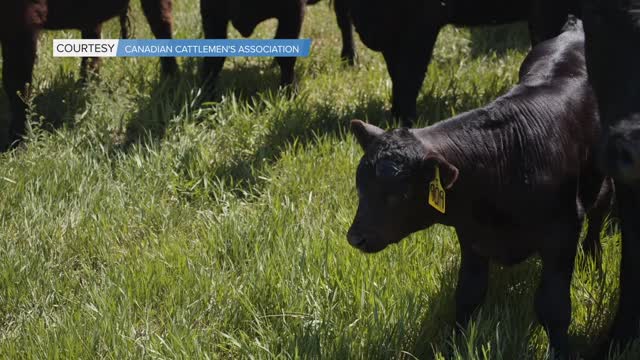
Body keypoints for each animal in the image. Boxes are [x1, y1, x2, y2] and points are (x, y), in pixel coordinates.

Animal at [2, 0, 179, 150]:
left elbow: (16, 81)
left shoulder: (24, 17)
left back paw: (170, 79)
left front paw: (17, 142)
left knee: (162, 22)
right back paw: (87, 85)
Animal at [201, 0, 356, 89]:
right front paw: (204, 97)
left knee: (344, 20)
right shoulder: (211, 10)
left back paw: (350, 59)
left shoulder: (293, 11)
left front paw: (289, 92)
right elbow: (213, 58)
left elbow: (287, 57)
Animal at [344, 20, 608, 358]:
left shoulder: (562, 232)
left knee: (599, 215)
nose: (356, 237)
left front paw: (561, 350)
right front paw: (453, 344)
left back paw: (593, 256)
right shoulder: (471, 236)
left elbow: (554, 306)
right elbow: (467, 296)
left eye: (398, 194)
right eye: (361, 187)